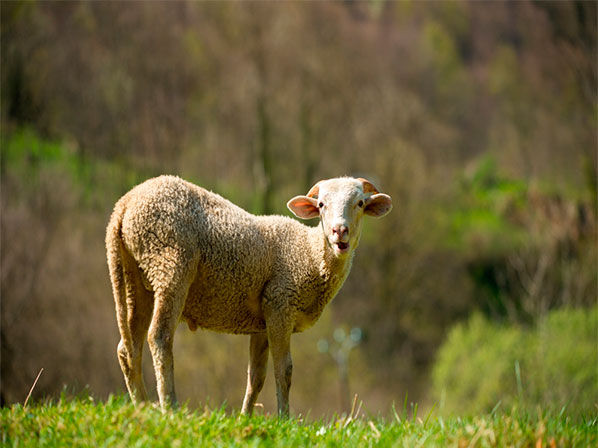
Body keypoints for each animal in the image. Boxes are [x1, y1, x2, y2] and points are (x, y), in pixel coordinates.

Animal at [105, 175, 392, 416]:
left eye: (360, 203)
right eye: (321, 204)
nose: (339, 231)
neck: (310, 254)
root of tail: (124, 205)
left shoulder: (262, 321)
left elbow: (256, 377)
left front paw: (246, 417)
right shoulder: (280, 303)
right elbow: (284, 370)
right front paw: (284, 419)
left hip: (134, 276)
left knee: (128, 347)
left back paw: (142, 406)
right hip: (170, 262)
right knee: (159, 336)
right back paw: (170, 407)